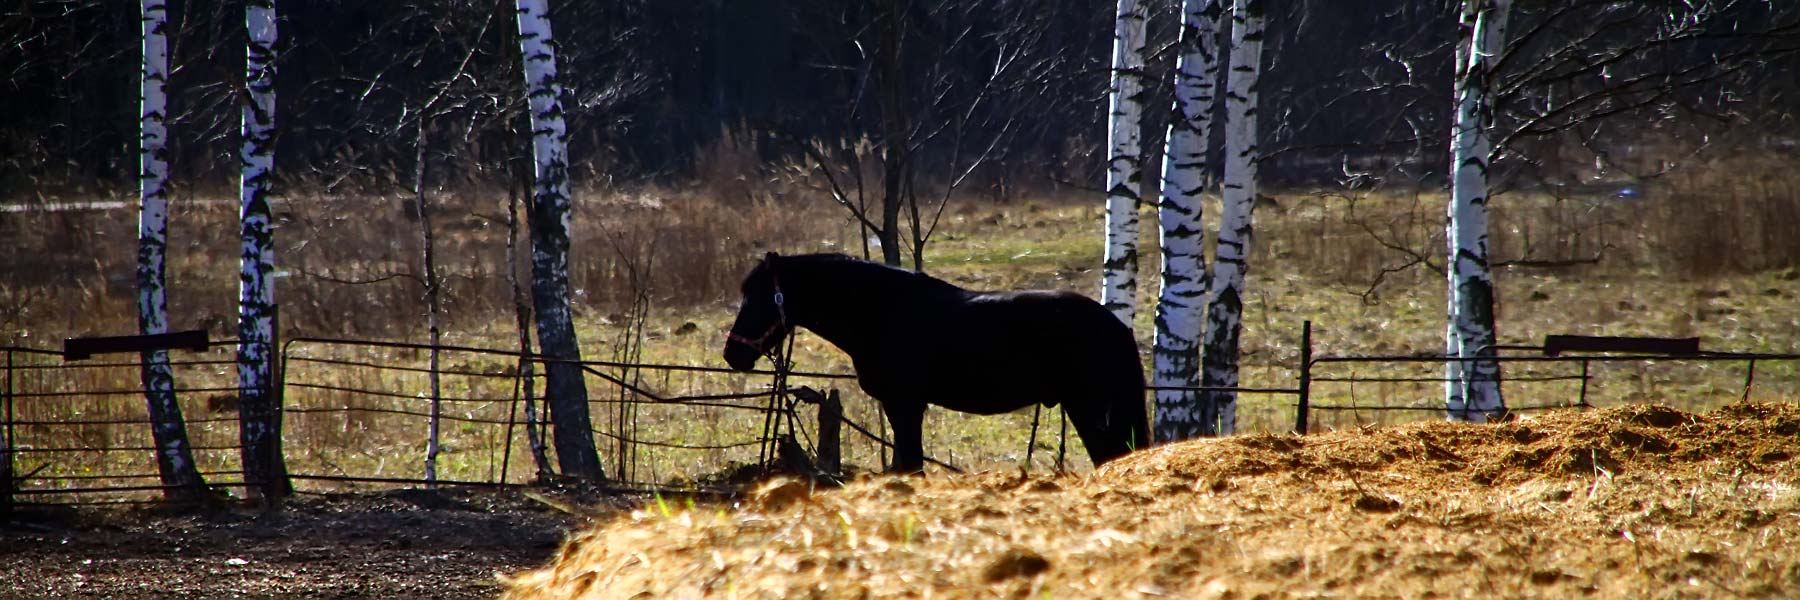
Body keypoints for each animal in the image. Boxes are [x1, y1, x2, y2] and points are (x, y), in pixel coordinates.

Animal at [720, 250, 1152, 468]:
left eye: (758, 296)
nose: (732, 353)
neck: (882, 311)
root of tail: (1115, 327)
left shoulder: (905, 403)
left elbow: (907, 465)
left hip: (1089, 407)